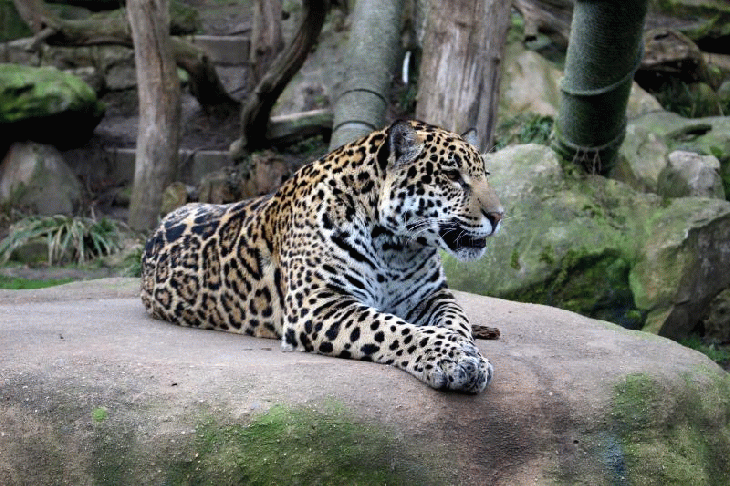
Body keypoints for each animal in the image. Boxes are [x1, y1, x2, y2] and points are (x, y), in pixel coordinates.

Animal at [141, 120, 503, 393]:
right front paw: (452, 358)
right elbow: (392, 328)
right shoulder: (320, 303)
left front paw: (468, 351)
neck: (397, 249)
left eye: (485, 175)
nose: (499, 216)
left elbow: (456, 320)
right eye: (452, 176)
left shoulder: (432, 296)